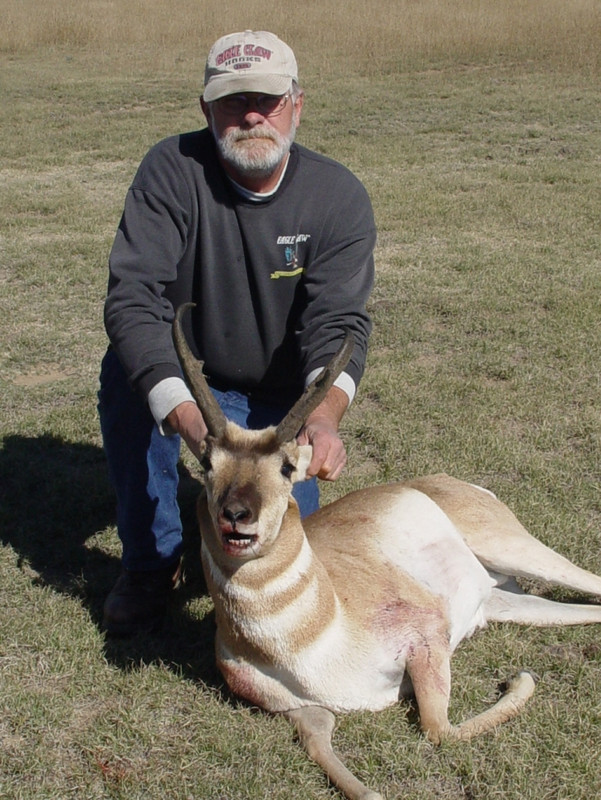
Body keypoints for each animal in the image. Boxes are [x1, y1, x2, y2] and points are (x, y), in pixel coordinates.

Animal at [173, 304, 601, 800]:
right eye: (208, 461)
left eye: (286, 466)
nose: (236, 516)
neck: (317, 631)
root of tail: (442, 481)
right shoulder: (304, 711)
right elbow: (318, 743)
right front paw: (369, 790)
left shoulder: (427, 638)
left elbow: (439, 730)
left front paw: (520, 677)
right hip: (503, 602)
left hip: (515, 550)